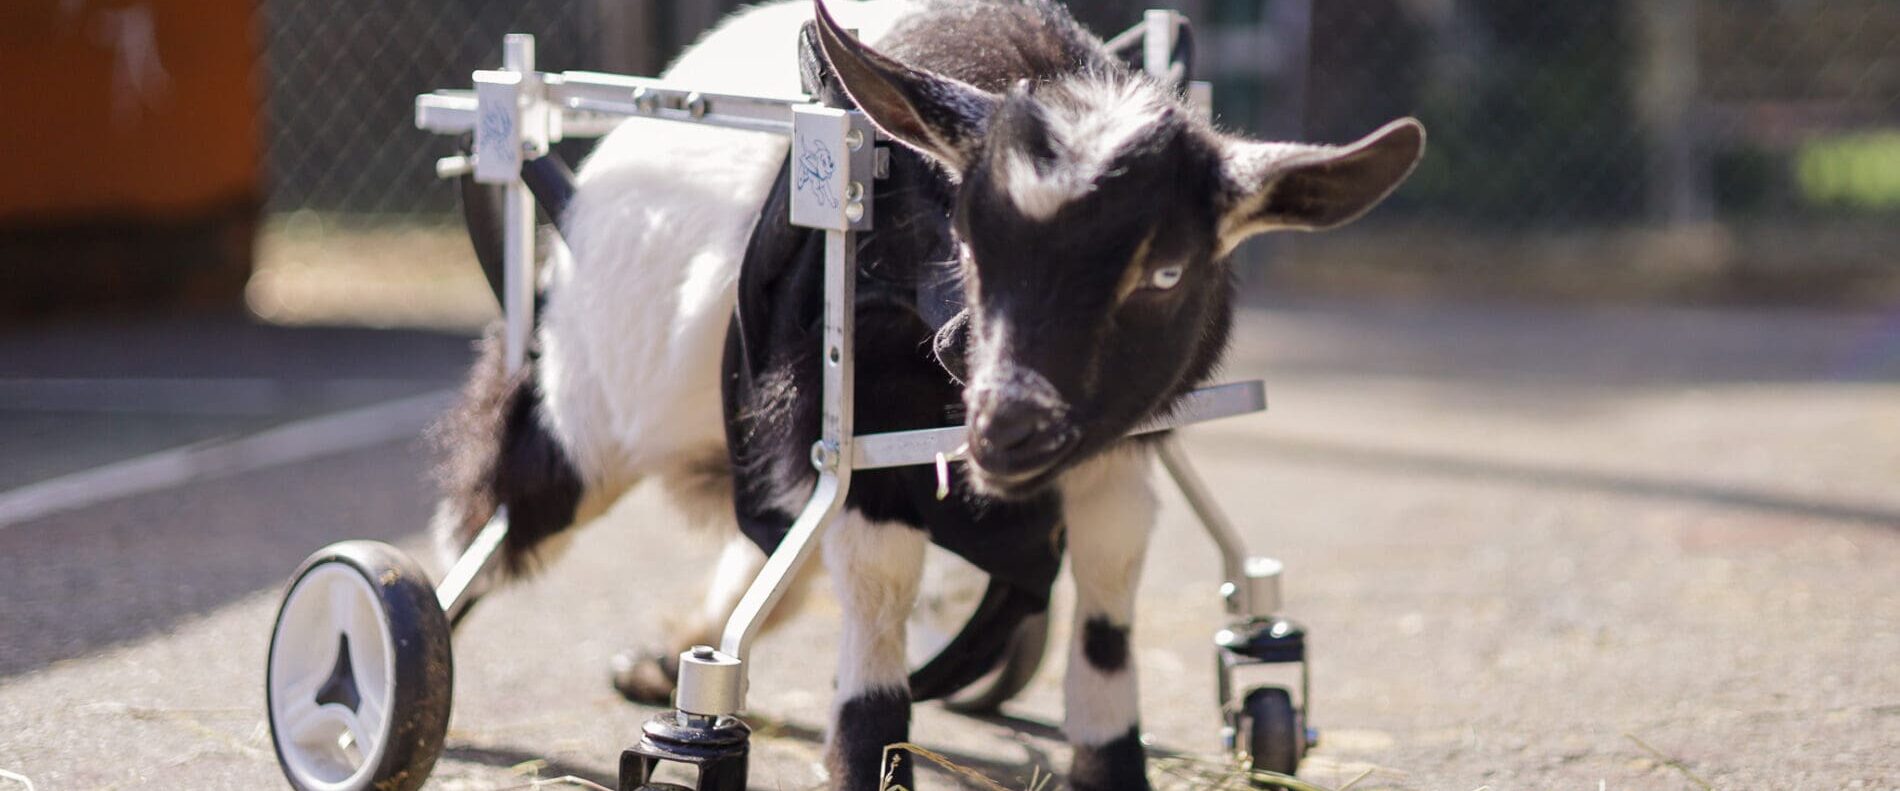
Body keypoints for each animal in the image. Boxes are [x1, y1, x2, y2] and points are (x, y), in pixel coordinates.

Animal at [432, 1, 1424, 788]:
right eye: (969, 243)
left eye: (1167, 271)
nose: (1009, 425)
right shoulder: (854, 422)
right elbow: (880, 583)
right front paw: (859, 755)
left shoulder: (1119, 442)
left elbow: (1110, 578)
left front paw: (1118, 757)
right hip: (584, 407)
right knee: (498, 510)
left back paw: (667, 650)